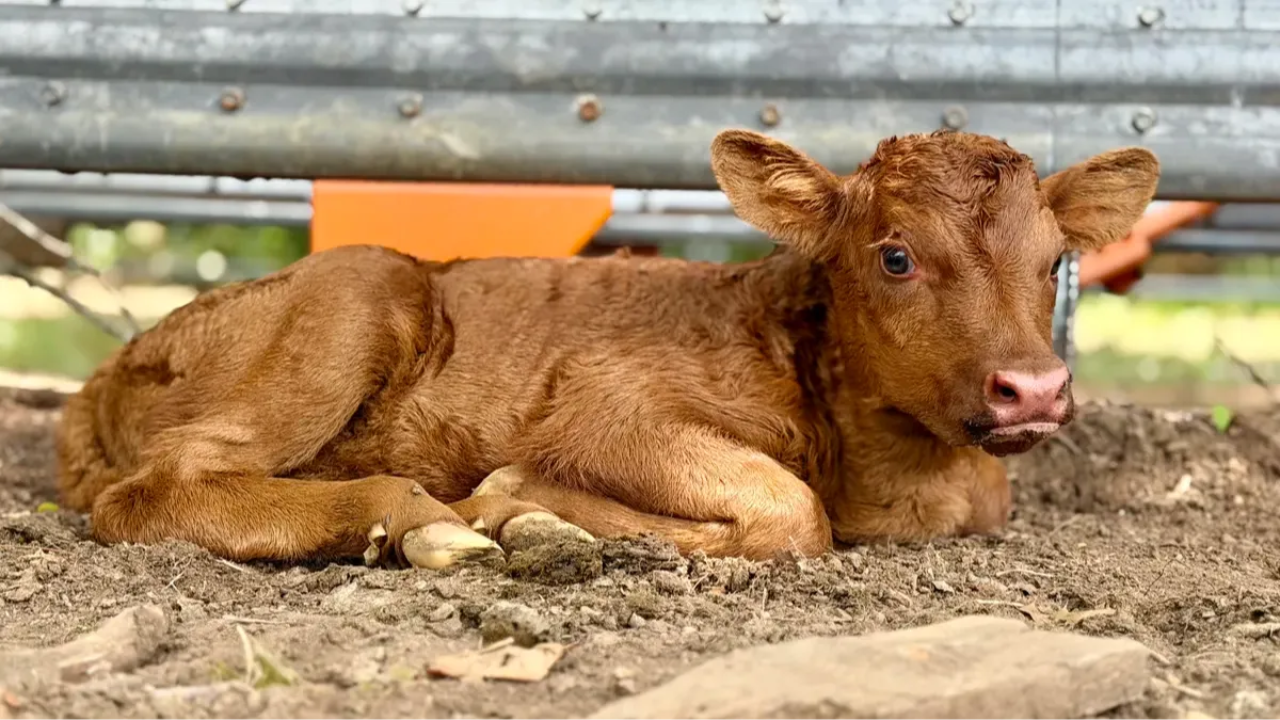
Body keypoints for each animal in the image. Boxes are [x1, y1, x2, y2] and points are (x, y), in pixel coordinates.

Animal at [54, 128, 1159, 569]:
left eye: (1054, 259)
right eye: (895, 254)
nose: (1032, 388)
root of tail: (104, 378)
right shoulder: (608, 405)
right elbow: (786, 509)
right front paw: (521, 508)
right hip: (351, 295)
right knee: (162, 487)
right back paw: (425, 521)